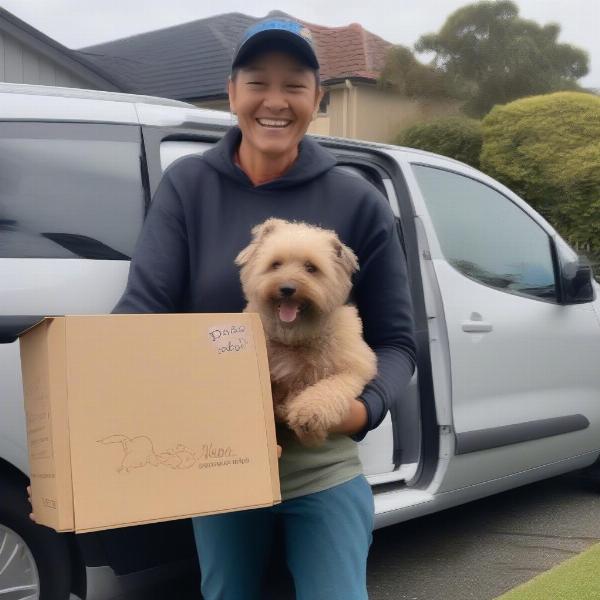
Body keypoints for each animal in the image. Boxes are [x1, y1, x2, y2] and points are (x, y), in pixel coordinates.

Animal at [233, 217, 376, 446]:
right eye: (275, 264)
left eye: (311, 268)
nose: (287, 288)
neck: (295, 338)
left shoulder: (353, 369)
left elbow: (330, 388)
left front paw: (308, 412)